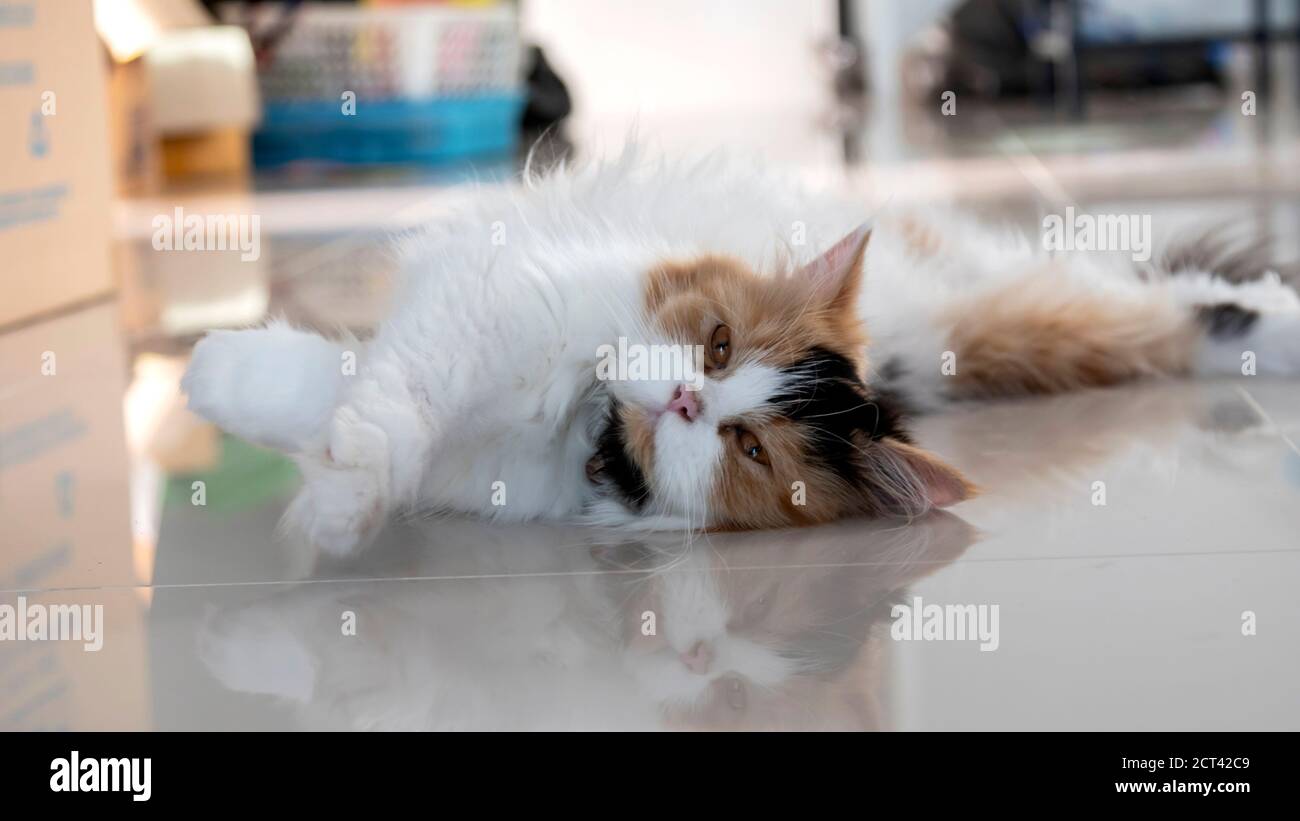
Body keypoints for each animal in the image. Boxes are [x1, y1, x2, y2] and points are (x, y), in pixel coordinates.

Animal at [180, 147, 1300, 558]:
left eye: (750, 447)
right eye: (716, 346)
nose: (683, 396)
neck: (574, 429)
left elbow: (368, 411)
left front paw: (332, 502)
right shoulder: (481, 307)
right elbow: (367, 388)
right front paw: (222, 380)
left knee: (1184, 310)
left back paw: (1276, 331)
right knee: (1161, 302)